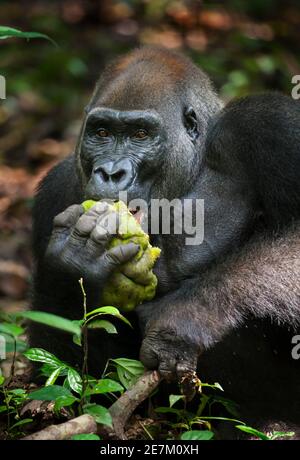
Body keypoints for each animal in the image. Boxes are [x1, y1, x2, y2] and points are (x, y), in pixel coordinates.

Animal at [29, 48, 300, 436]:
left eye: (141, 133)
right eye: (101, 132)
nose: (110, 172)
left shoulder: (268, 125)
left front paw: (184, 317)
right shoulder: (57, 190)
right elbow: (69, 384)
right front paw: (73, 260)